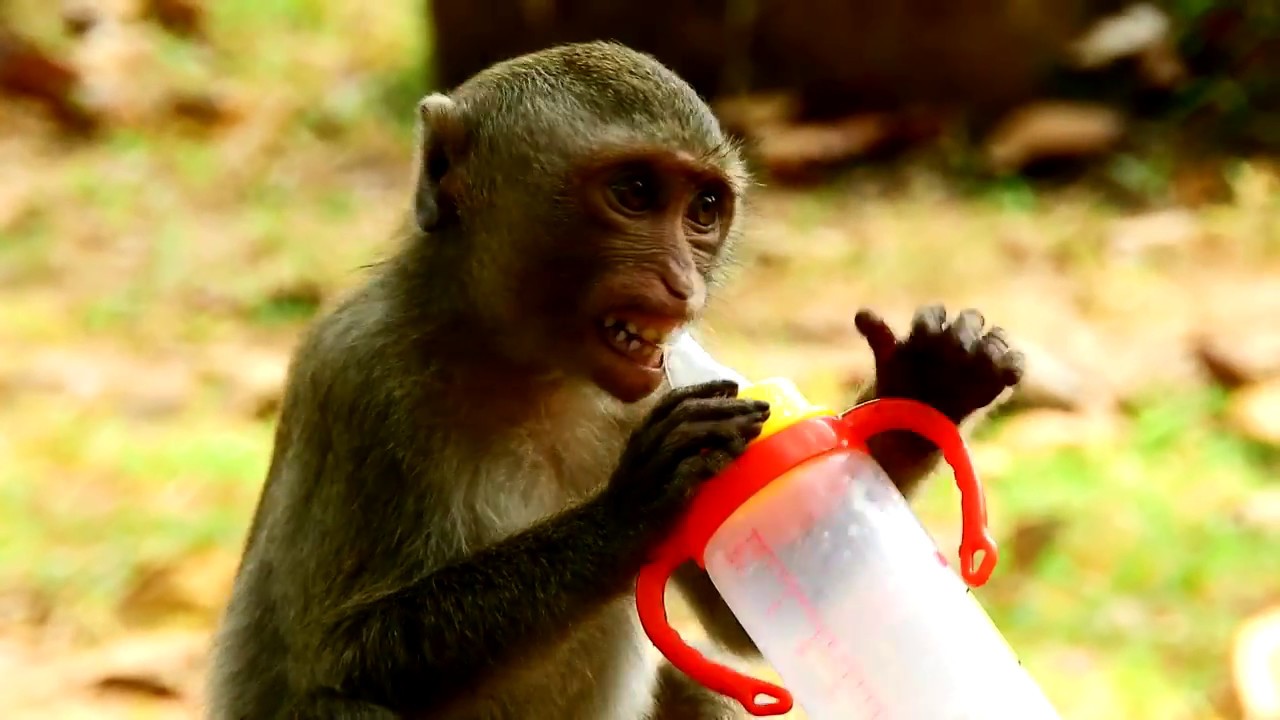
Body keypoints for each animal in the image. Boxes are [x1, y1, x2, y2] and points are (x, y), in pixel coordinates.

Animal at [206, 41, 1025, 720]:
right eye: (633, 192)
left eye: (704, 209)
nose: (681, 286)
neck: (528, 368)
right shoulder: (359, 381)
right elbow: (344, 655)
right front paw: (632, 509)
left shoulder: (666, 386)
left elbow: (742, 612)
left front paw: (930, 381)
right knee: (338, 703)